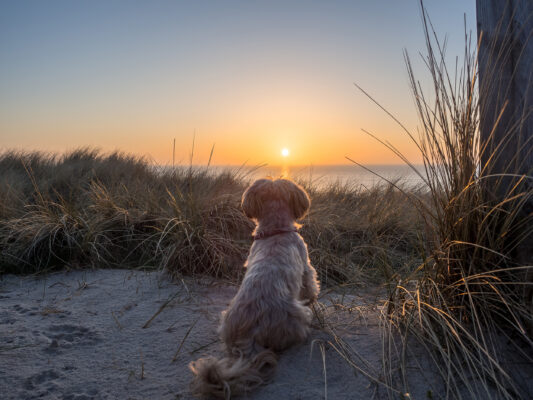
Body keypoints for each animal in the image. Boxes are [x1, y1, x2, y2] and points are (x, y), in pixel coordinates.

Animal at [189, 179, 318, 400]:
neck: (275, 231)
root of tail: (250, 335)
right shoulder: (306, 266)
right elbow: (310, 285)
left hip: (225, 319)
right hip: (298, 316)